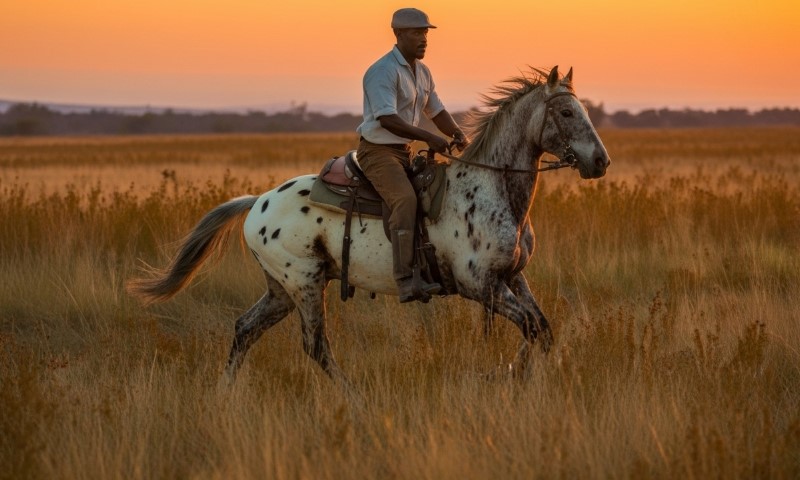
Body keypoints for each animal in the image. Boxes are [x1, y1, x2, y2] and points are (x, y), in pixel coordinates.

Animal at [128, 65, 610, 385]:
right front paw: (514, 377)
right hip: (305, 283)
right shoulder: (481, 286)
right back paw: (351, 396)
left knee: (246, 328)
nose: (600, 161)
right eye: (567, 113)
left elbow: (542, 329)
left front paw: (519, 376)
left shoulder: (512, 277)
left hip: (281, 290)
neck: (492, 187)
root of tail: (257, 202)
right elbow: (532, 328)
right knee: (316, 346)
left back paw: (227, 392)